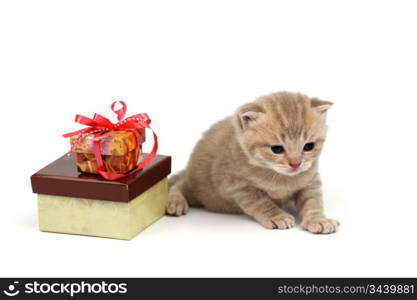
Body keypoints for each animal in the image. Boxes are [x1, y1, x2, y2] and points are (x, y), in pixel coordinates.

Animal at [167, 91, 340, 234]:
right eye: (277, 149)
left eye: (309, 146)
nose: (296, 163)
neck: (280, 176)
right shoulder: (238, 185)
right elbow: (262, 202)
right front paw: (277, 216)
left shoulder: (310, 179)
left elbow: (313, 201)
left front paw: (318, 219)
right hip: (200, 186)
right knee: (179, 185)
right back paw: (175, 202)